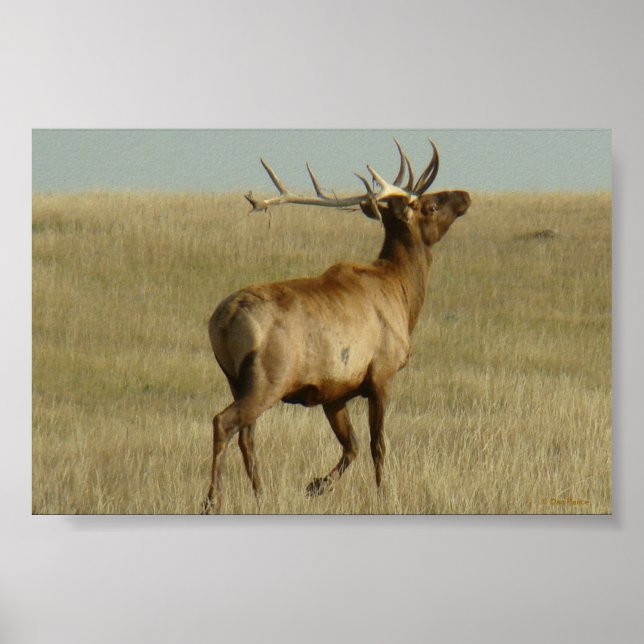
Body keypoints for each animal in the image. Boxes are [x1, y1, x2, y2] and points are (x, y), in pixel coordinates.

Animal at [202, 139, 470, 513]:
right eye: (430, 205)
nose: (465, 195)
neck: (403, 293)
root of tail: (224, 320)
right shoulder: (381, 373)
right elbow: (377, 444)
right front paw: (383, 494)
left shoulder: (334, 392)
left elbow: (351, 446)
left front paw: (314, 485)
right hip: (267, 379)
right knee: (224, 423)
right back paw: (212, 499)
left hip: (236, 380)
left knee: (247, 435)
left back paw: (261, 494)